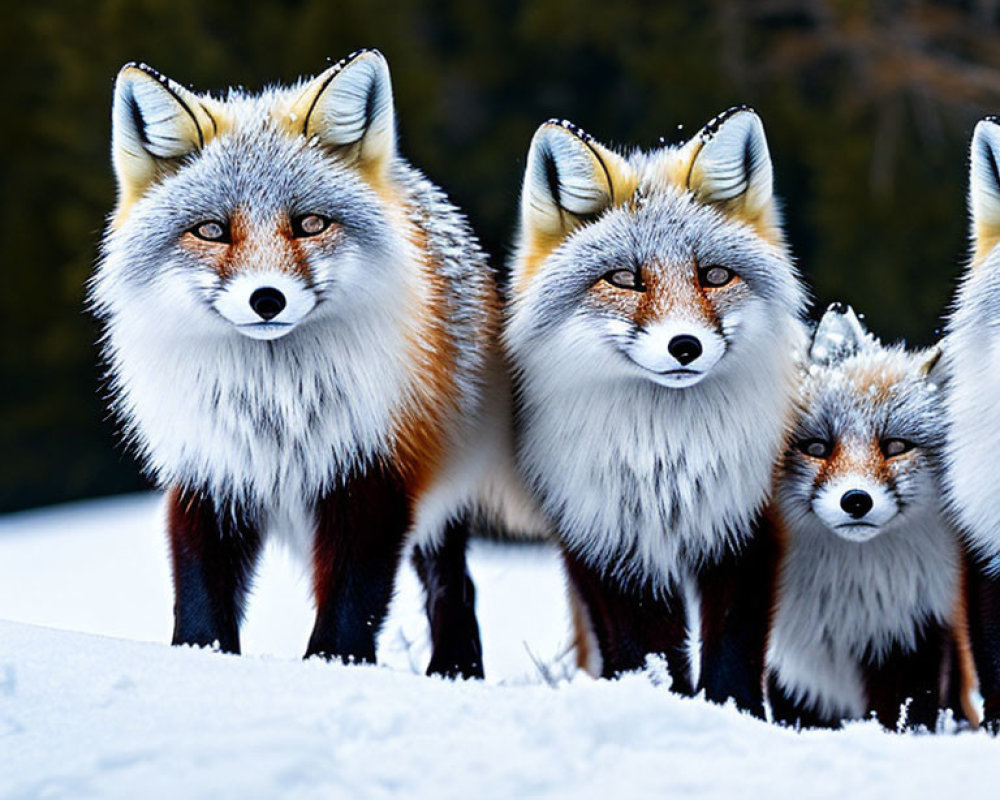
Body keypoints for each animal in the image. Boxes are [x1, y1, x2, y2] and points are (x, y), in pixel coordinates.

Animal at [91, 48, 540, 676]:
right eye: (212, 231)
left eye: (309, 224)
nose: (267, 299)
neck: (276, 406)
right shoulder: (212, 468)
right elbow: (201, 589)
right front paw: (202, 662)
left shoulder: (371, 469)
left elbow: (353, 598)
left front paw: (332, 667)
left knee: (453, 585)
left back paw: (456, 671)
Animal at [504, 109, 808, 716]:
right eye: (624, 279)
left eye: (714, 276)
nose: (684, 346)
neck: (667, 459)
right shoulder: (608, 541)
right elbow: (647, 653)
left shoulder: (747, 526)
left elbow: (732, 649)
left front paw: (732, 713)